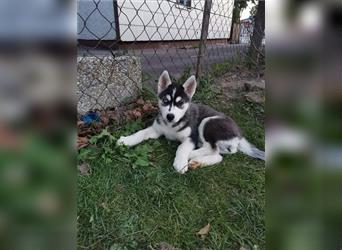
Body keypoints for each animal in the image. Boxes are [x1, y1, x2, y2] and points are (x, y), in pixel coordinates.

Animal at [117, 71, 264, 174]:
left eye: (180, 103)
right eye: (165, 101)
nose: (170, 116)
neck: (171, 125)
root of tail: (239, 135)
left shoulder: (191, 137)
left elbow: (181, 148)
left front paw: (180, 162)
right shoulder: (156, 129)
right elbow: (140, 133)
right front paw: (126, 140)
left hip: (208, 122)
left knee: (212, 149)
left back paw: (193, 155)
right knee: (218, 155)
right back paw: (197, 162)